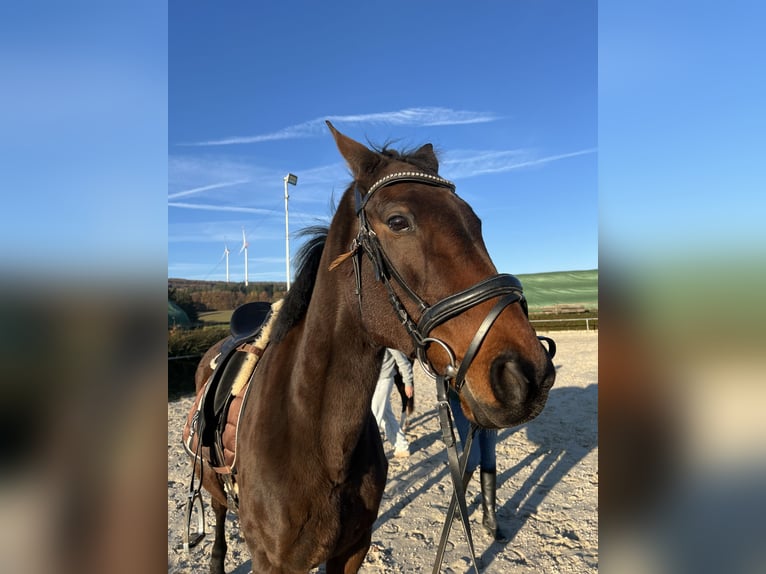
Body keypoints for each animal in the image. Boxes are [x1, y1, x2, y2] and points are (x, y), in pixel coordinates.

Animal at [187, 122, 556, 573]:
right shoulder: (272, 563)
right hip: (214, 488)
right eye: (398, 221)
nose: (528, 373)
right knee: (219, 517)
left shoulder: (352, 549)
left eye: (476, 221)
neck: (321, 442)